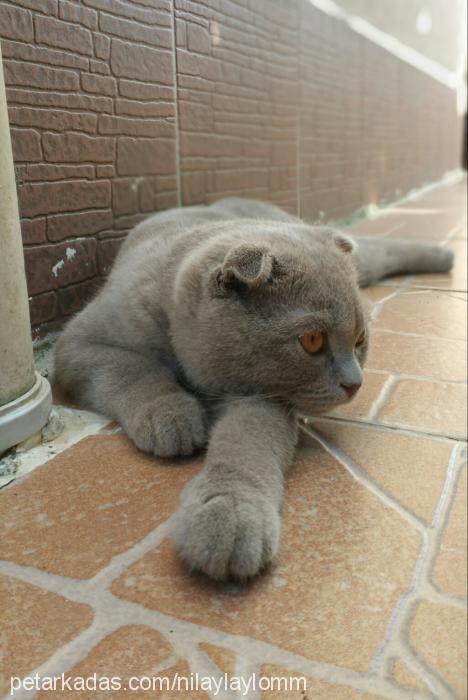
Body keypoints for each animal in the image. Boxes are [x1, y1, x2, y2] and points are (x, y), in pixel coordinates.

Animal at [54, 197, 454, 580]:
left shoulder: (260, 397)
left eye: (360, 340)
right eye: (312, 340)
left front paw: (230, 514)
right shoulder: (75, 345)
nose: (355, 382)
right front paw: (171, 417)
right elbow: (134, 368)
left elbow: (247, 445)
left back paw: (445, 257)